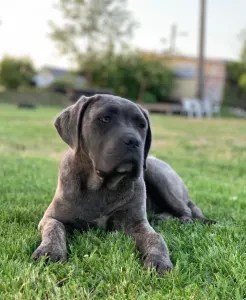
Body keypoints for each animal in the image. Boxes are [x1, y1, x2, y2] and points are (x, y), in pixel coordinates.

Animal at [32, 94, 213, 274]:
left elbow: (155, 237)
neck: (101, 186)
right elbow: (54, 229)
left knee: (187, 211)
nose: (133, 141)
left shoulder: (136, 223)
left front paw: (159, 260)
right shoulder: (52, 217)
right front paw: (49, 251)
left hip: (157, 174)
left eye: (141, 125)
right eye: (105, 118)